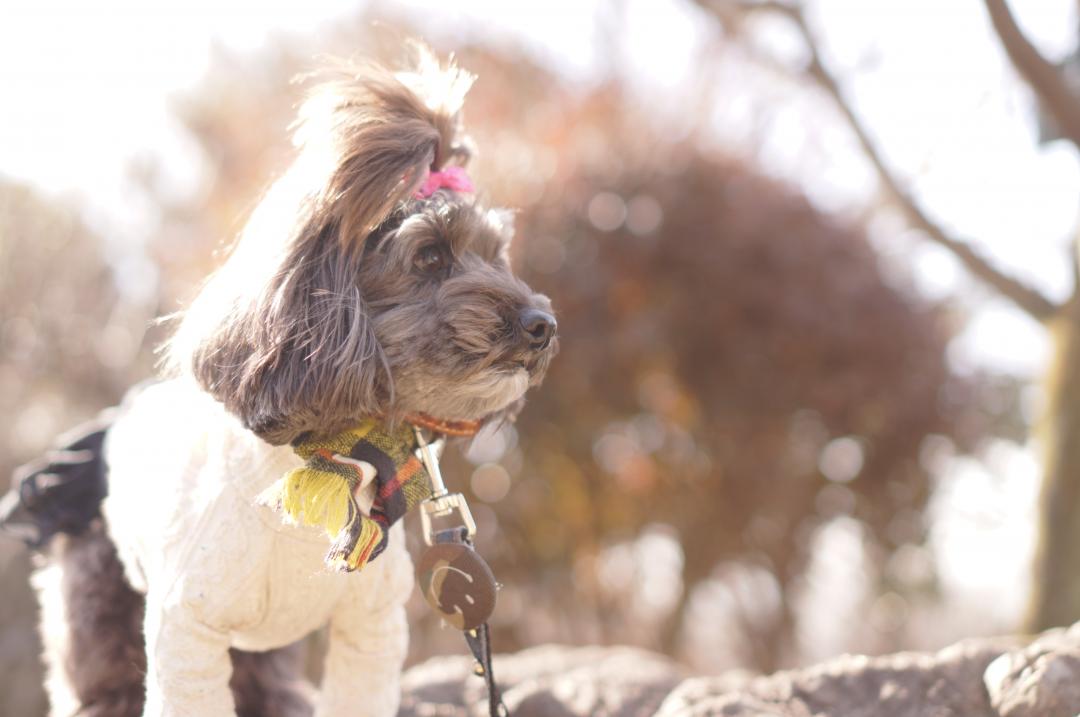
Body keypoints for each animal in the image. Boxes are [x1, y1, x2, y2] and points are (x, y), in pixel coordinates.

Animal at [17, 47, 557, 712]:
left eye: (496, 254)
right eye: (430, 255)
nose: (542, 325)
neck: (332, 461)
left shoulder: (371, 627)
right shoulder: (185, 629)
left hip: (259, 652)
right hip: (102, 598)